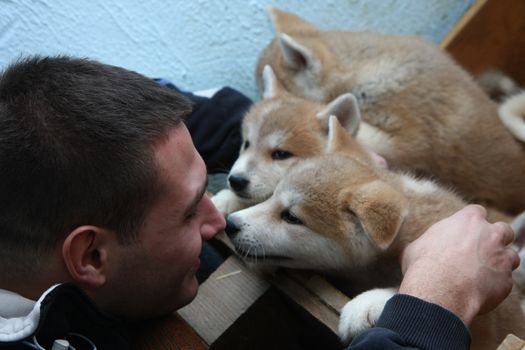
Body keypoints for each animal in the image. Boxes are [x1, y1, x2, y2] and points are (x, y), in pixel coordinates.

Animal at [226, 116, 524, 348]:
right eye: (274, 198)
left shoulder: (487, 327)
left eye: (291, 217)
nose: (230, 224)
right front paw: (227, 199)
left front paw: (369, 303)